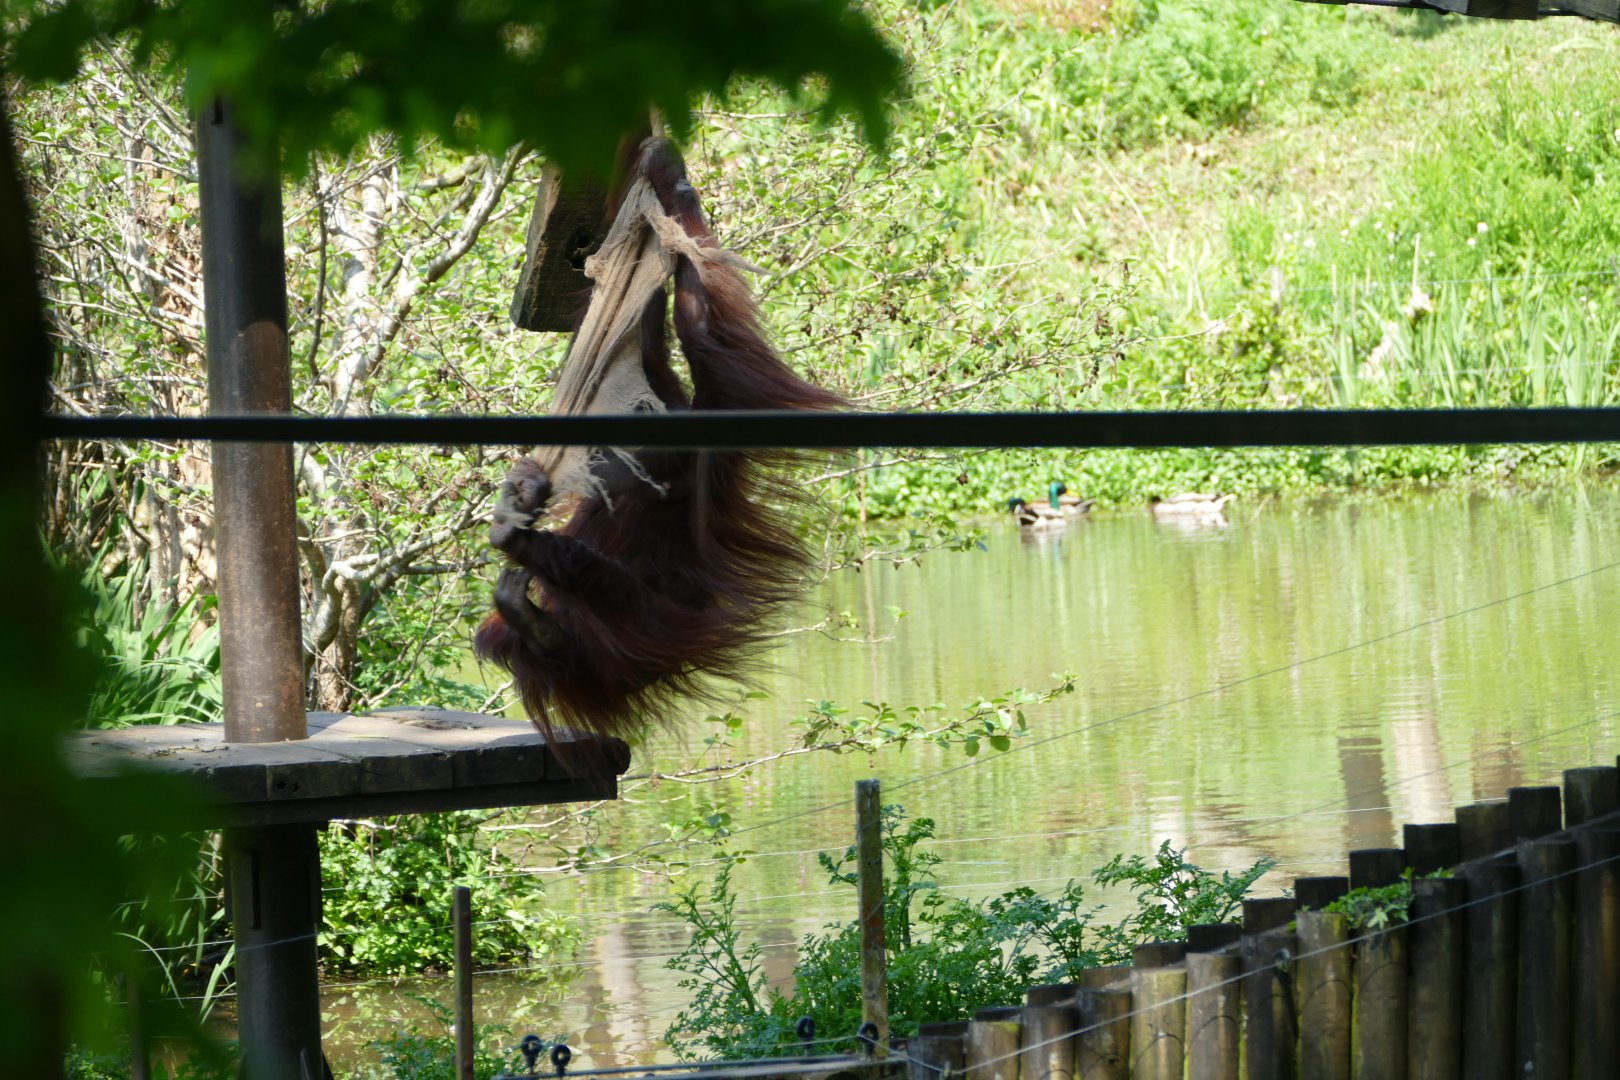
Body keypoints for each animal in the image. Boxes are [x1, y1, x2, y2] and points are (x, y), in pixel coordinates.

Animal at [474, 139, 844, 747]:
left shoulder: (710, 413)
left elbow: (695, 326)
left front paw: (668, 185)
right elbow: (659, 336)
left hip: (652, 624)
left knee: (603, 584)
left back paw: (523, 575)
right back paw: (531, 616)